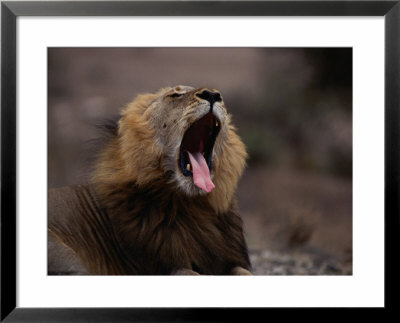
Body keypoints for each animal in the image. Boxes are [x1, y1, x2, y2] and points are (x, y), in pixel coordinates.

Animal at [48, 85, 252, 276]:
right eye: (176, 95)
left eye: (218, 96)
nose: (212, 95)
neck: (193, 206)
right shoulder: (166, 267)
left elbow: (243, 271)